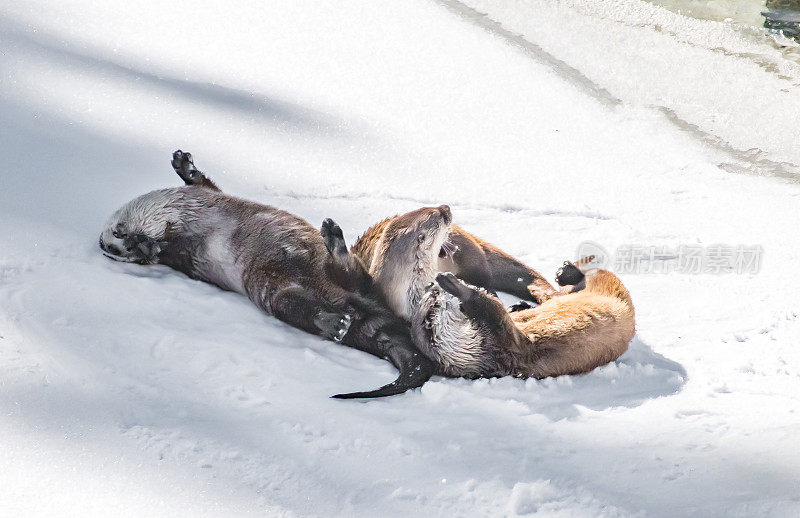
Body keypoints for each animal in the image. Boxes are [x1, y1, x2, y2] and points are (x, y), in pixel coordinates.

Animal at [101, 151, 438, 402]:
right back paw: (334, 318)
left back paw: (333, 245)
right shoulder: (183, 253)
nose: (135, 246)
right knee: (304, 304)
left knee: (356, 281)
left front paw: (183, 163)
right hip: (271, 291)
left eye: (118, 237)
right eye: (120, 249)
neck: (179, 213)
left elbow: (204, 183)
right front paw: (154, 247)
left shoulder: (203, 195)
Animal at [322, 207, 636, 382]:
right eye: (436, 219)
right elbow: (493, 310)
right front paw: (460, 289)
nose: (446, 207)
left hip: (474, 253)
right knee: (589, 281)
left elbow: (493, 299)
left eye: (433, 211)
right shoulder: (507, 344)